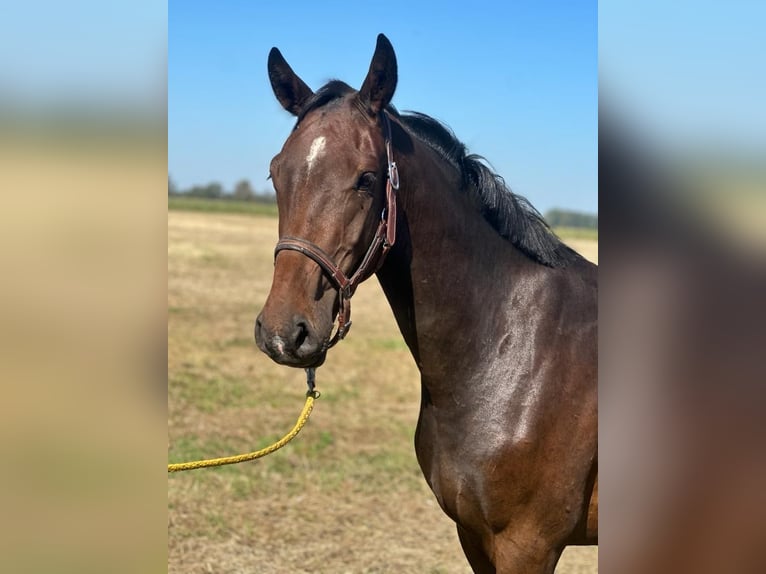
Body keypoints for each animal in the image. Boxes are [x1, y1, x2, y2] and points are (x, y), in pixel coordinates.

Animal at [255, 33, 596, 572]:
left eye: (367, 178)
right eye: (275, 173)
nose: (284, 332)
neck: (514, 351)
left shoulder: (529, 544)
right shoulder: (473, 535)